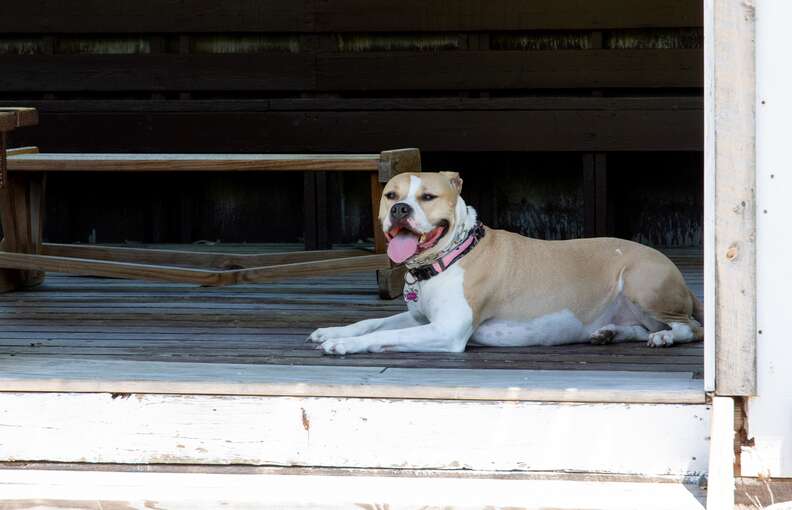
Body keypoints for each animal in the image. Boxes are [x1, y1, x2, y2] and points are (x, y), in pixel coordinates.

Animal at [310, 171, 704, 354]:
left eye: (428, 197)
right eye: (391, 194)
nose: (400, 209)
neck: (452, 254)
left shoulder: (445, 330)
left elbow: (390, 336)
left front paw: (344, 346)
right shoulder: (421, 318)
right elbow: (373, 322)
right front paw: (333, 332)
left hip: (641, 283)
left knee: (690, 328)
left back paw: (665, 338)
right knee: (640, 327)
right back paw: (610, 333)